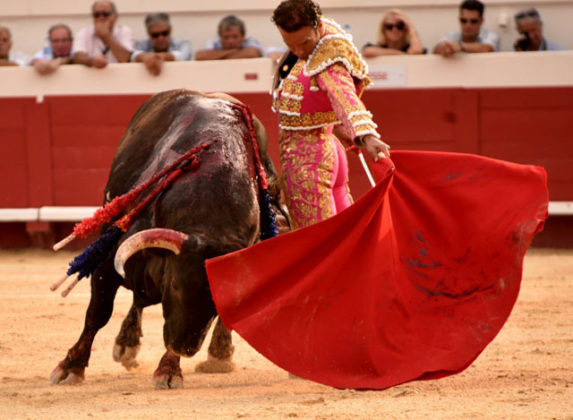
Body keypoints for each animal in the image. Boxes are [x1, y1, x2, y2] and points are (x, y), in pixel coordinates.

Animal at [50, 90, 286, 388]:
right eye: (175, 285)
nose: (185, 346)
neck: (209, 221)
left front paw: (169, 369)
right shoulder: (108, 260)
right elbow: (98, 313)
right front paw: (70, 367)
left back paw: (217, 355)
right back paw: (126, 345)